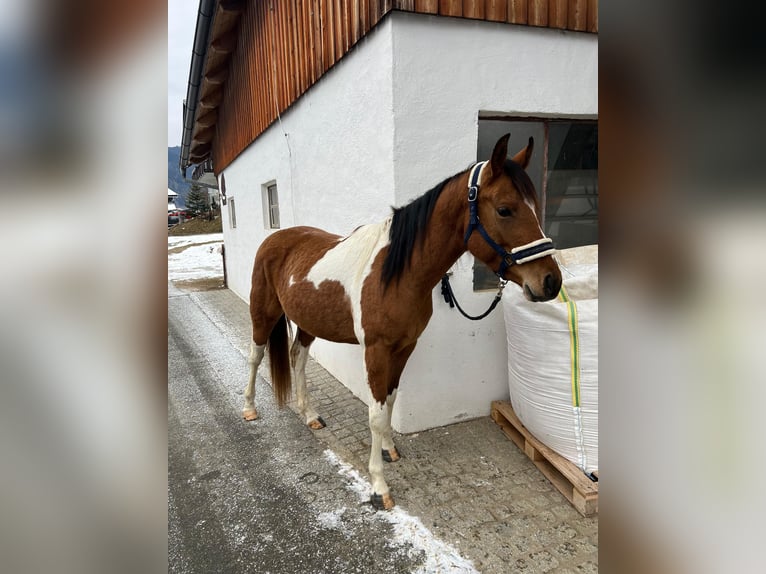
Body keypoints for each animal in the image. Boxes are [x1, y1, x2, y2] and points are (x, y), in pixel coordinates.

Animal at [242, 134, 562, 510]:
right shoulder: (376, 351)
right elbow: (376, 413)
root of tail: (276, 237)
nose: (550, 282)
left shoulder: (405, 347)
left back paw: (309, 415)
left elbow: (391, 402)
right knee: (255, 356)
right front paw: (379, 486)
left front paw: (389, 449)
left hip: (308, 323)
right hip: (263, 313)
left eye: (534, 205)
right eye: (505, 209)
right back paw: (249, 408)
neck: (396, 273)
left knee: (298, 358)